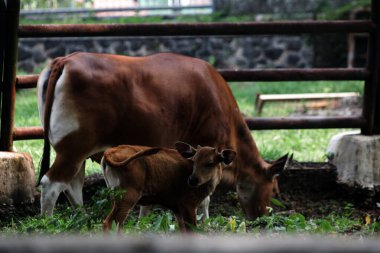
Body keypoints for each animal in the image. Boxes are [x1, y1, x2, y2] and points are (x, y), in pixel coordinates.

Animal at [37, 51, 288, 217]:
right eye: (274, 190)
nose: (261, 215)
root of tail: (65, 60)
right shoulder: (207, 149)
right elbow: (205, 196)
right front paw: (205, 220)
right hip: (73, 148)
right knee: (52, 183)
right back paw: (48, 222)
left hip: (75, 152)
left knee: (73, 184)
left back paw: (81, 217)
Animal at [102, 141, 236, 232]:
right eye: (194, 161)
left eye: (210, 163)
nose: (192, 180)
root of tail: (109, 152)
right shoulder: (188, 205)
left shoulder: (177, 209)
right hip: (128, 196)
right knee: (115, 223)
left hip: (115, 196)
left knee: (107, 222)